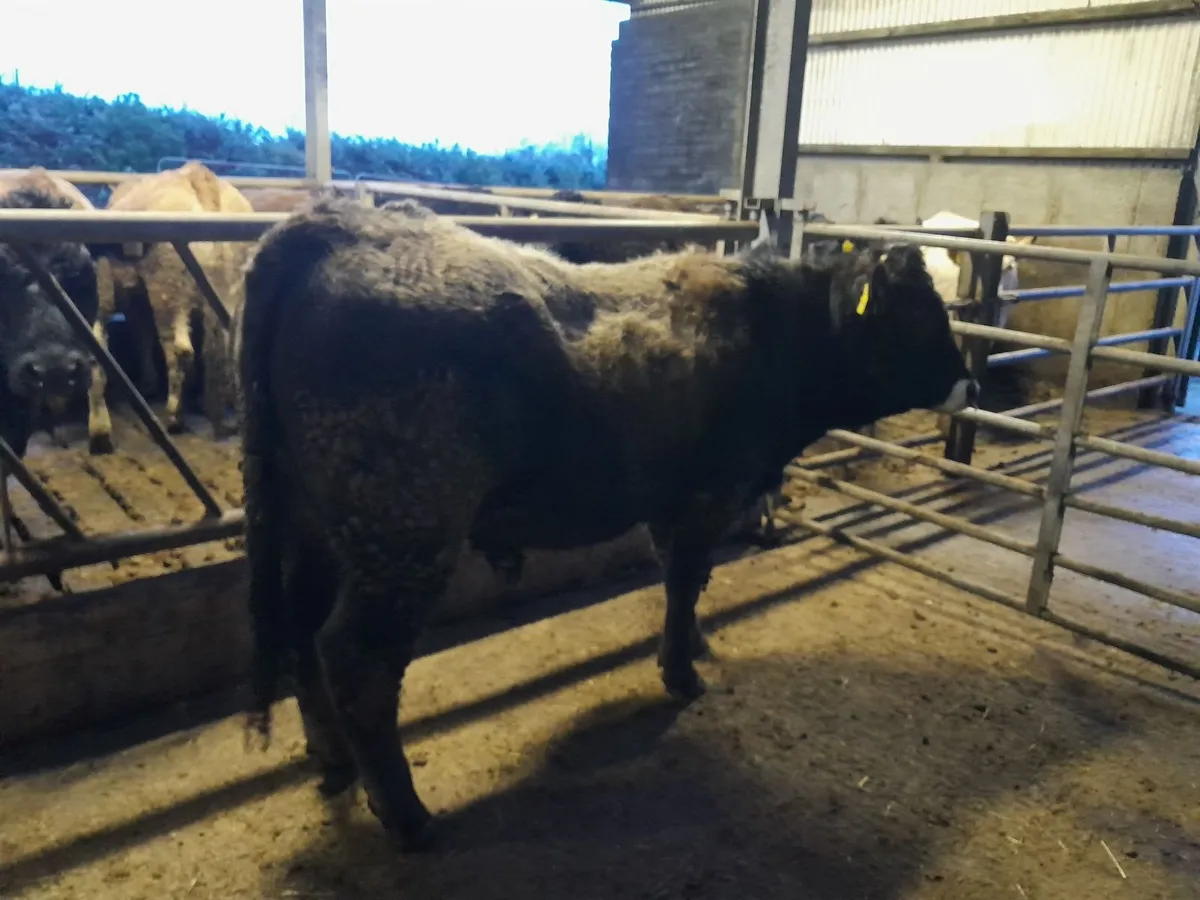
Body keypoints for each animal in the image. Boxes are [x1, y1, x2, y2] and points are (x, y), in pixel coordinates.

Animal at [234, 197, 977, 849]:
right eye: (918, 316)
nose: (968, 383)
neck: (774, 332)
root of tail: (339, 224)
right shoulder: (708, 494)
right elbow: (685, 580)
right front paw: (682, 673)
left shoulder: (671, 500)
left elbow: (684, 586)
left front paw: (693, 644)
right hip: (404, 531)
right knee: (358, 660)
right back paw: (408, 818)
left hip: (316, 525)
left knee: (301, 630)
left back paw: (332, 758)